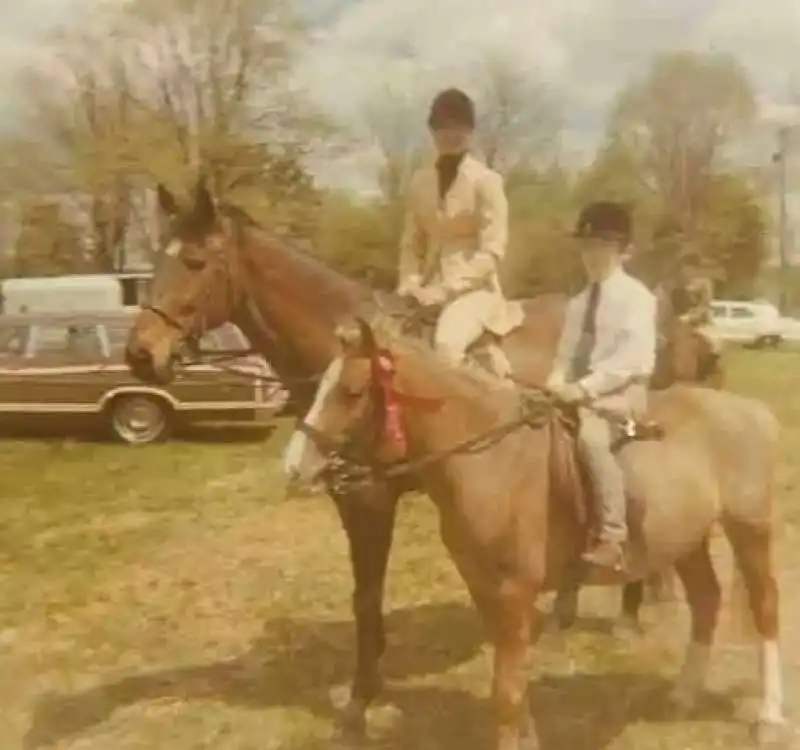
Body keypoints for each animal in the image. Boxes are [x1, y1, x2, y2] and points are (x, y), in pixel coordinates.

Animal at [122, 178, 720, 748]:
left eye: (195, 261)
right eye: (155, 259)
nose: (140, 354)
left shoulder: (369, 499)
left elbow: (367, 599)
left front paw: (359, 704)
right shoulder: (350, 496)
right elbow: (366, 598)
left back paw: (628, 611)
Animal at [284, 318, 784, 750]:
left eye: (351, 391)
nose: (294, 466)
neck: (492, 459)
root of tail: (751, 410)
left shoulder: (513, 592)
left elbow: (506, 691)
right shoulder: (486, 590)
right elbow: (512, 682)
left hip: (750, 529)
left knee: (765, 608)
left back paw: (770, 718)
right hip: (687, 541)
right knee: (706, 600)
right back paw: (683, 696)